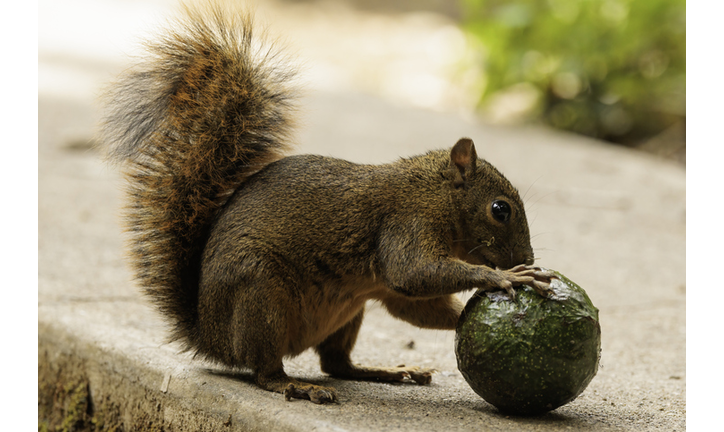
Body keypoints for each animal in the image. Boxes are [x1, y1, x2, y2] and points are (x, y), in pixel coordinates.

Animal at [100, 2, 556, 404]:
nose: (527, 257)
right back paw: (295, 386)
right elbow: (413, 271)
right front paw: (505, 277)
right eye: (500, 210)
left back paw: (386, 371)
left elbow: (411, 301)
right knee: (266, 370)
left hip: (348, 309)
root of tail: (209, 335)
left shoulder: (392, 282)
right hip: (260, 296)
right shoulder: (406, 222)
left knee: (336, 364)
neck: (434, 193)